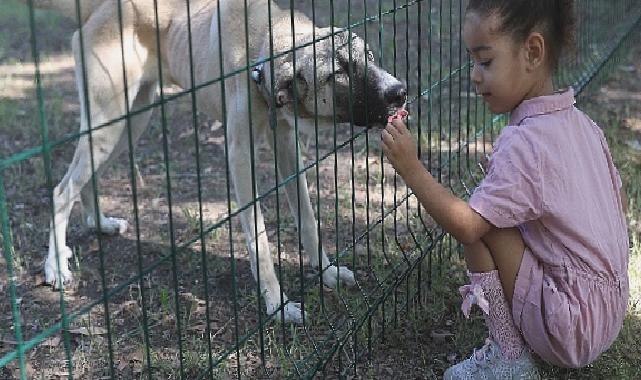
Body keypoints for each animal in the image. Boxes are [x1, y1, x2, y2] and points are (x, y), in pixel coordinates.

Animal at [26, 0, 404, 324]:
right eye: (338, 72)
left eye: (369, 56)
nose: (400, 92)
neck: (262, 48)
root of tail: (99, 9)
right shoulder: (239, 155)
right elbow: (259, 240)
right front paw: (278, 305)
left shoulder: (286, 145)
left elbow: (309, 220)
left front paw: (327, 274)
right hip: (109, 124)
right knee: (61, 191)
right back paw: (56, 266)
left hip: (130, 125)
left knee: (84, 181)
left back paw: (99, 223)